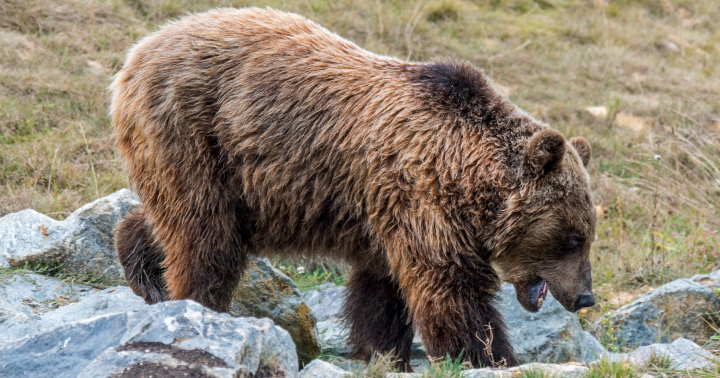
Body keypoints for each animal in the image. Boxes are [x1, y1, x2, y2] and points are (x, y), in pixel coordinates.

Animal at [111, 7, 596, 370]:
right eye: (573, 238)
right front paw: (490, 355)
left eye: (587, 235)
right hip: (193, 132)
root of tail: (139, 50)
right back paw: (196, 304)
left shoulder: (384, 212)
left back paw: (144, 271)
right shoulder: (419, 199)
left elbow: (381, 292)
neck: (465, 175)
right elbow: (452, 289)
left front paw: (385, 352)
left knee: (176, 220)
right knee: (205, 234)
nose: (585, 296)